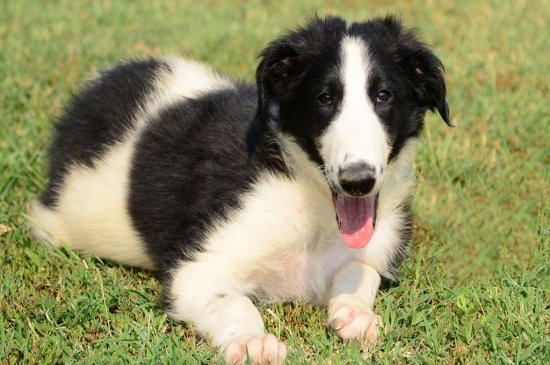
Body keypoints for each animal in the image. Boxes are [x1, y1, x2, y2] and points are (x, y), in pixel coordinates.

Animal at [30, 15, 450, 362]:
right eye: (325, 99)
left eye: (384, 96)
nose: (357, 181)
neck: (309, 196)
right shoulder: (197, 268)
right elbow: (233, 304)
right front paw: (251, 342)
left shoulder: (375, 245)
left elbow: (360, 271)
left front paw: (354, 313)